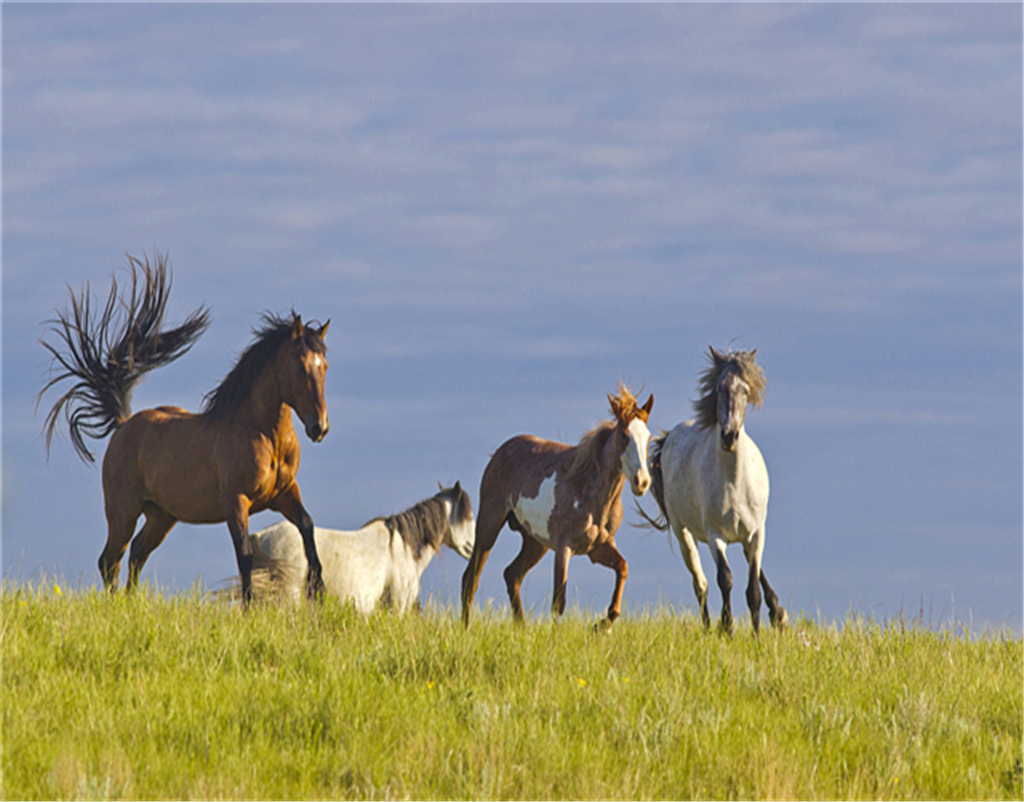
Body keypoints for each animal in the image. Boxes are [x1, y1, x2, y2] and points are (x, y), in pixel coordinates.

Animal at [37, 254, 327, 606]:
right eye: (300, 366)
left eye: (324, 366)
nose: (319, 427)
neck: (263, 435)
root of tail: (124, 424)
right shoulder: (237, 502)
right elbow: (244, 554)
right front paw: (249, 607)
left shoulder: (284, 493)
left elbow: (308, 527)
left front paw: (320, 593)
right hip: (123, 512)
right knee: (110, 559)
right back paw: (116, 605)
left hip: (161, 516)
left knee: (136, 552)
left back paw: (132, 603)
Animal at [460, 385, 651, 630]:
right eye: (625, 435)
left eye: (648, 437)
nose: (642, 481)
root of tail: (500, 452)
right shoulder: (564, 547)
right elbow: (559, 601)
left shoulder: (598, 547)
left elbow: (622, 568)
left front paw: (601, 625)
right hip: (489, 525)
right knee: (471, 578)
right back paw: (466, 628)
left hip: (535, 542)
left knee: (512, 575)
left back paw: (521, 627)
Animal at [638, 348, 790, 635]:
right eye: (720, 389)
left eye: (745, 390)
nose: (729, 436)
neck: (735, 482)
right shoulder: (715, 536)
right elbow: (725, 579)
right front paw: (727, 627)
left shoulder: (756, 533)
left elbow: (753, 588)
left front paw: (757, 635)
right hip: (683, 533)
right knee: (701, 584)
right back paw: (708, 625)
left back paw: (778, 613)